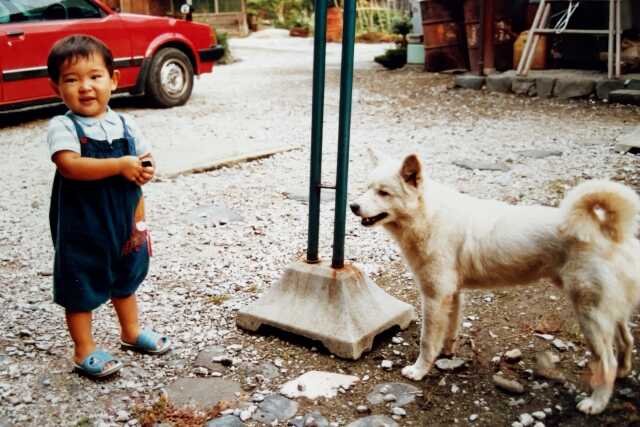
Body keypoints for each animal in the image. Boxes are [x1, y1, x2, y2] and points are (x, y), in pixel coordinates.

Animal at [350, 152, 640, 416]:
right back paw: (623, 372)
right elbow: (450, 332)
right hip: (607, 313)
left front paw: (419, 370)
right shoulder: (452, 295)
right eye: (367, 188)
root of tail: (607, 231)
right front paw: (447, 355)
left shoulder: (434, 297)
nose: (353, 206)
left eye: (383, 193)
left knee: (607, 362)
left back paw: (597, 403)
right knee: (626, 341)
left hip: (590, 316)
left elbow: (427, 341)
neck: (428, 216)